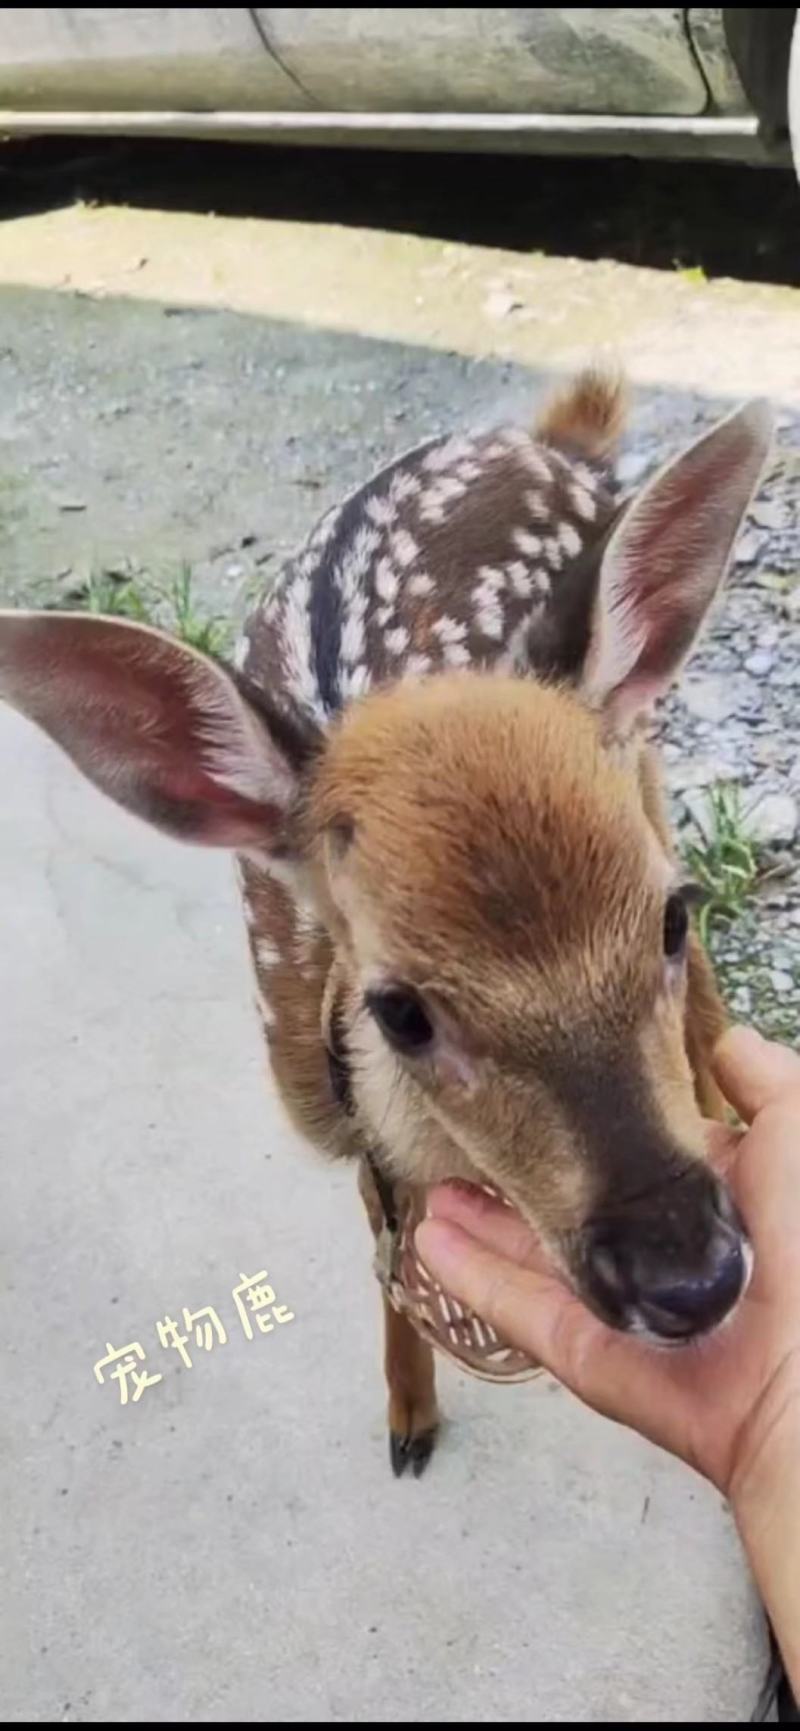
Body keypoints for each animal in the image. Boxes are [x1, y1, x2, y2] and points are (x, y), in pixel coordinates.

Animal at [0, 370, 773, 1481]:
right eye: (399, 1012)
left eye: (667, 915)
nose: (688, 1275)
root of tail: (553, 436)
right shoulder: (349, 1130)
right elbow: (385, 1261)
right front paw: (408, 1416)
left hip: (645, 751)